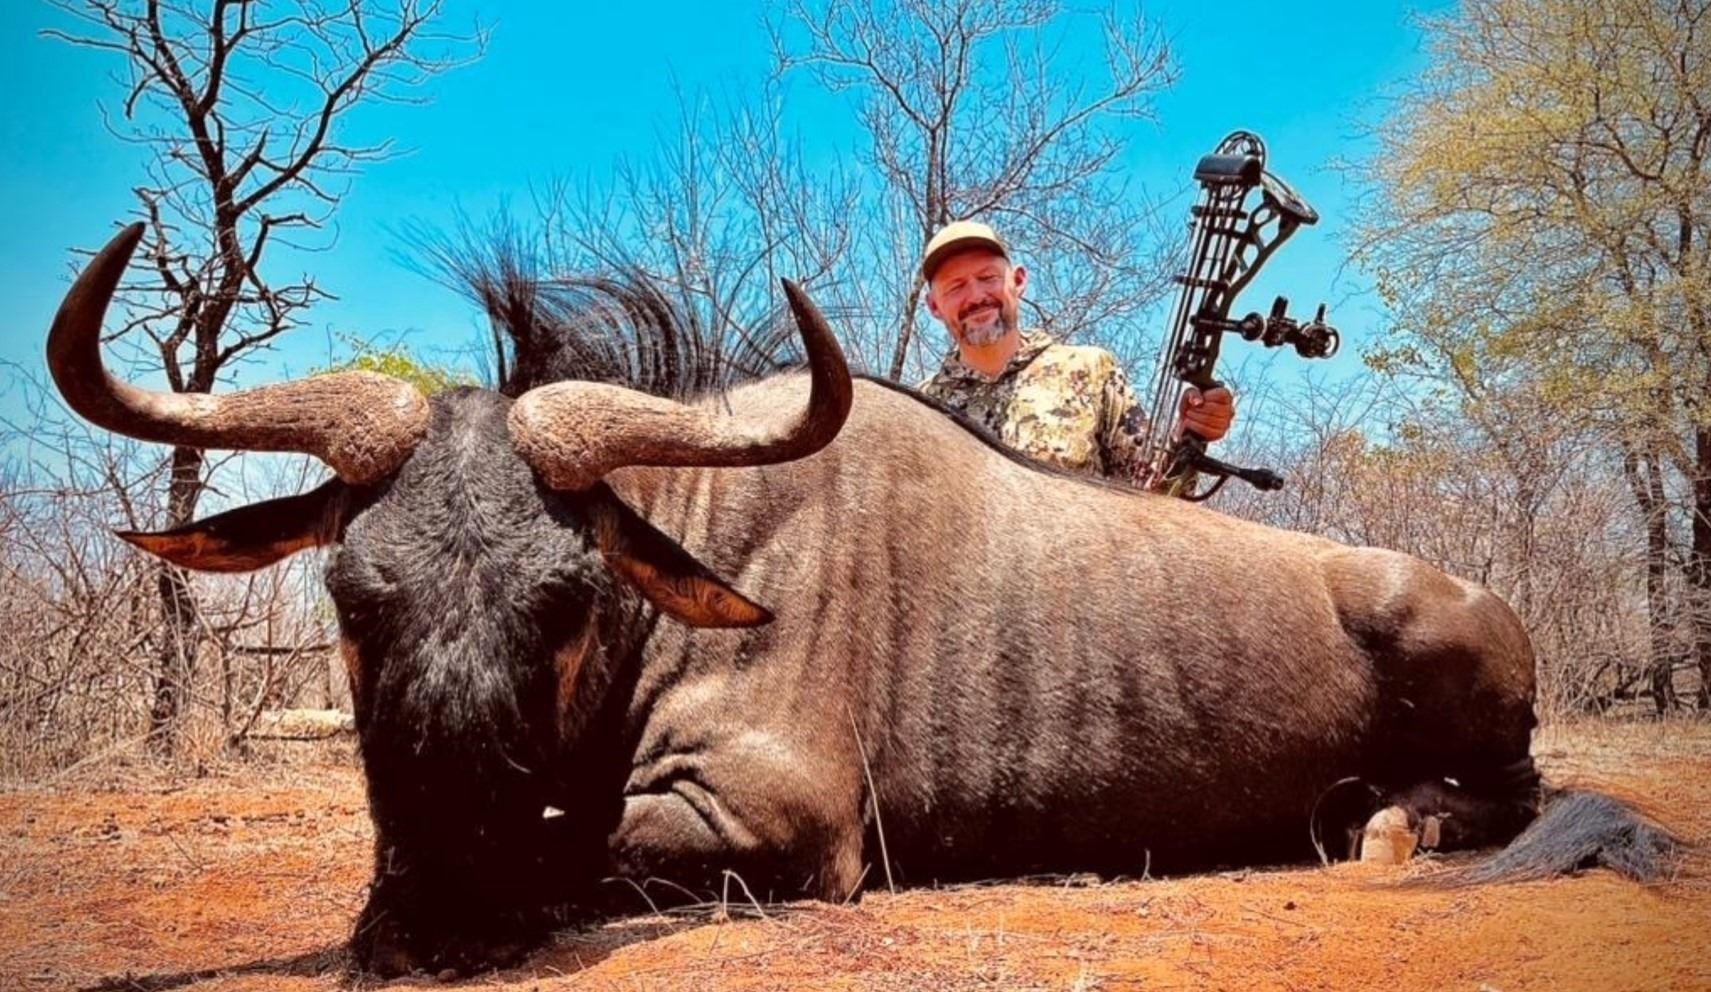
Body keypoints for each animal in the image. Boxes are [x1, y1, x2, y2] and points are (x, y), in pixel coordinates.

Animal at [48, 223, 1675, 977]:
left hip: (1459, 678)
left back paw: (1389, 825)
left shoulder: (778, 824)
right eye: (349, 591)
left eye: (566, 596)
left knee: (1512, 792)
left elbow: (582, 845)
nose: (434, 915)